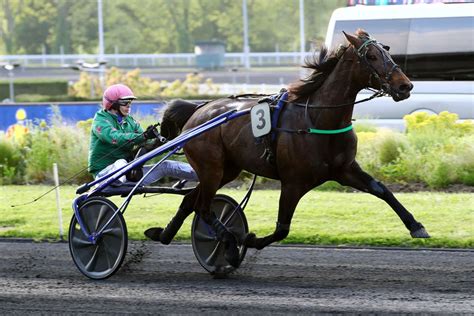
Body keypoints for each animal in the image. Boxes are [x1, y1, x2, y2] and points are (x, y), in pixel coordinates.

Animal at [145, 29, 430, 266]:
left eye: (387, 51)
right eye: (371, 56)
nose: (405, 85)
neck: (317, 118)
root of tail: (199, 109)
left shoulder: (345, 169)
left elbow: (382, 190)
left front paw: (416, 225)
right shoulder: (293, 182)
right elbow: (282, 228)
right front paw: (248, 239)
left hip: (227, 169)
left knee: (191, 201)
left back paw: (164, 233)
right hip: (211, 167)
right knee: (203, 207)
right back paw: (228, 245)